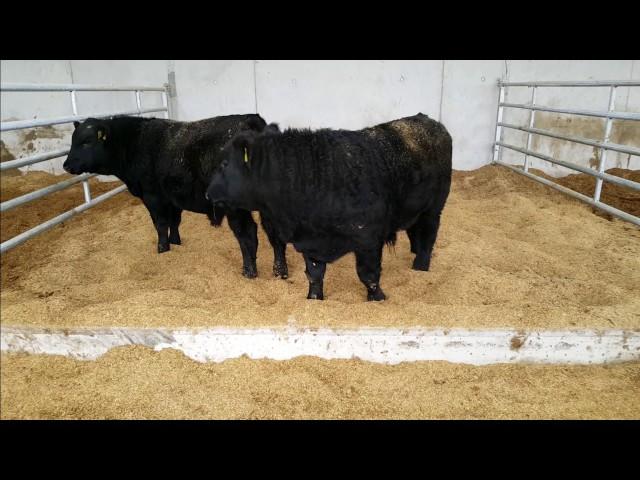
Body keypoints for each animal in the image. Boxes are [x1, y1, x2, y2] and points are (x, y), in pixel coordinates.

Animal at [208, 112, 452, 300]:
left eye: (225, 163)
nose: (207, 193)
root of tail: (428, 121)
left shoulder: (368, 239)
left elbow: (369, 275)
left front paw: (377, 298)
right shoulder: (309, 240)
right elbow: (314, 275)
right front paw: (314, 299)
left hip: (434, 209)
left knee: (428, 236)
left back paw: (421, 267)